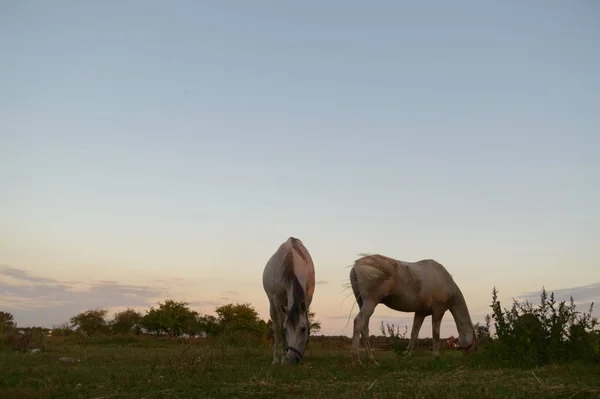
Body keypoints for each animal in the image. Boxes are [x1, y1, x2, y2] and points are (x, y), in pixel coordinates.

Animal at [264, 238, 318, 366]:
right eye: (286, 329)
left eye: (303, 329)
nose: (292, 359)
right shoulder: (278, 299)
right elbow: (280, 328)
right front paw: (283, 359)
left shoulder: (308, 296)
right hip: (272, 304)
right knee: (276, 328)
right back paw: (276, 359)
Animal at [346, 256, 478, 366]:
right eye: (475, 341)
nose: (471, 357)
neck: (445, 281)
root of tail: (357, 264)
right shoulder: (438, 311)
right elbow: (436, 334)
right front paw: (436, 356)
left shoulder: (420, 313)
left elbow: (414, 334)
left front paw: (407, 355)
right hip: (371, 302)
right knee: (358, 322)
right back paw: (356, 360)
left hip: (362, 303)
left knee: (364, 328)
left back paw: (372, 361)